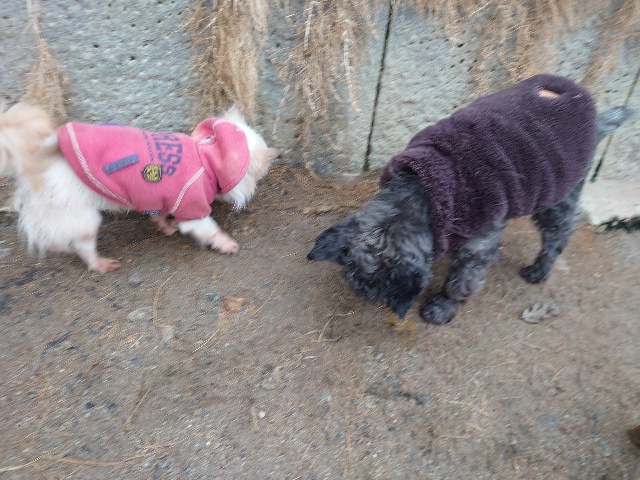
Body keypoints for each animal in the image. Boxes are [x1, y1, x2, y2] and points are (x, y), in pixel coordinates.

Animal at [0, 102, 280, 272]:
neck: (208, 156)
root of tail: (37, 161)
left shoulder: (158, 198)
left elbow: (159, 214)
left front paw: (165, 226)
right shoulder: (193, 206)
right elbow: (209, 230)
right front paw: (227, 244)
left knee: (43, 231)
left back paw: (54, 246)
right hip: (82, 216)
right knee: (80, 244)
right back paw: (99, 263)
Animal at [308, 74, 633, 324]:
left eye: (376, 284)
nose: (360, 292)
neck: (421, 194)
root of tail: (594, 115)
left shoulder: (480, 241)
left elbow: (462, 280)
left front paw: (441, 308)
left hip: (559, 195)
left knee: (560, 233)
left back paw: (539, 270)